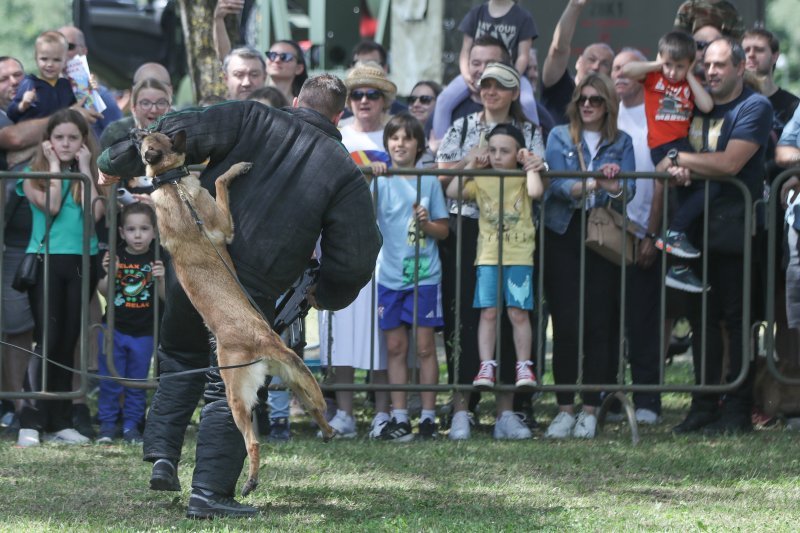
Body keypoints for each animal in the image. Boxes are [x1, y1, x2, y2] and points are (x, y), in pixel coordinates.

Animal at [139, 129, 332, 494]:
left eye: (150, 136)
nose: (133, 129)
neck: (172, 185)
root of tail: (264, 339)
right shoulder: (224, 225)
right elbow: (219, 182)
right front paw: (237, 168)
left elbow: (218, 181)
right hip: (247, 393)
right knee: (266, 433)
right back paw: (252, 480)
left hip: (276, 383)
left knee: (306, 412)